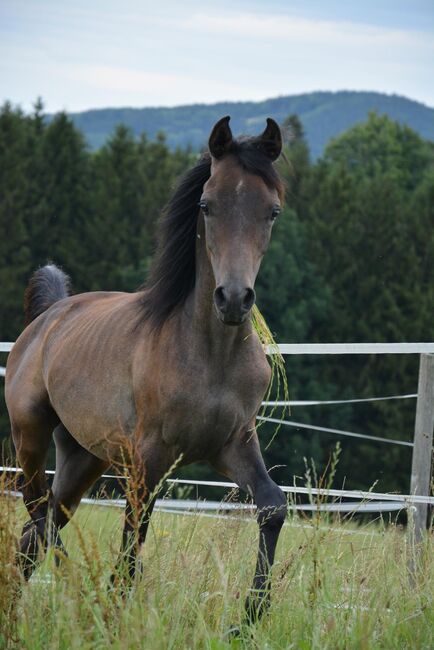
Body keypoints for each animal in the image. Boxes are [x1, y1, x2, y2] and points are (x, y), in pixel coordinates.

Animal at [5, 114, 288, 620]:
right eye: (207, 205)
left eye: (271, 211)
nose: (234, 299)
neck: (209, 356)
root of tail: (47, 318)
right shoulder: (149, 458)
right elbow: (131, 546)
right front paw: (114, 614)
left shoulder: (233, 443)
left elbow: (272, 506)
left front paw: (249, 619)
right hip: (30, 436)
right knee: (41, 519)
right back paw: (82, 595)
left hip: (84, 456)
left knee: (37, 531)